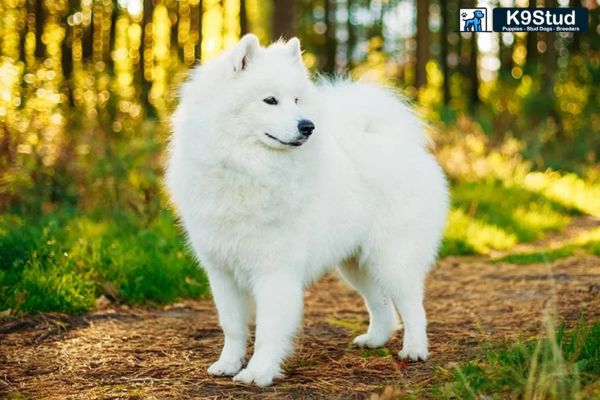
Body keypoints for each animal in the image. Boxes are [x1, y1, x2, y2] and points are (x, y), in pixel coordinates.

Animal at [166, 35, 448, 388]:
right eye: (270, 100)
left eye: (297, 100)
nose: (308, 126)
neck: (245, 167)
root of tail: (401, 145)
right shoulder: (222, 271)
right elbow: (232, 326)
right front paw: (228, 364)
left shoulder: (274, 271)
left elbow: (268, 330)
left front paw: (258, 372)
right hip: (356, 264)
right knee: (381, 305)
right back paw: (374, 340)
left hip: (392, 258)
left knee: (413, 307)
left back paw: (415, 349)